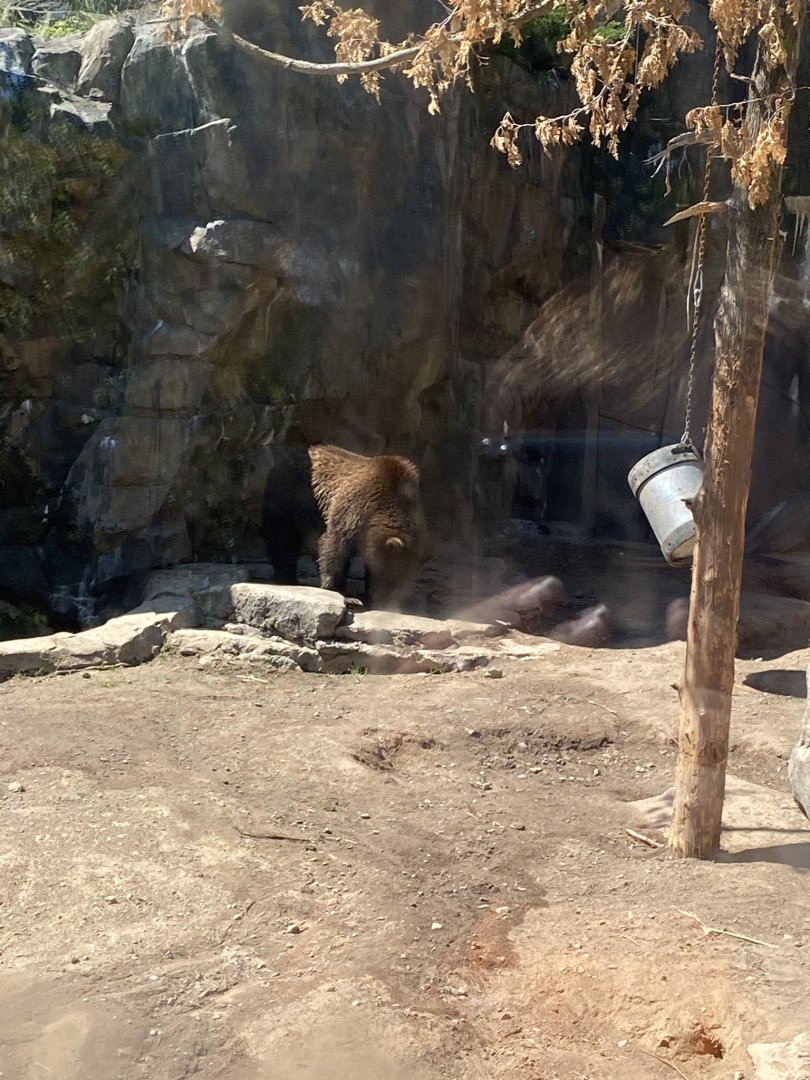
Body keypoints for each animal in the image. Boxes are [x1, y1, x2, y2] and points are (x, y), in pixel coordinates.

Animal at [262, 444, 430, 608]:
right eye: (392, 579)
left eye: (402, 584)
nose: (388, 601)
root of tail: (284, 459)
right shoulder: (355, 509)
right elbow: (334, 546)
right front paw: (343, 594)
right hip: (288, 498)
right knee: (282, 538)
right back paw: (288, 578)